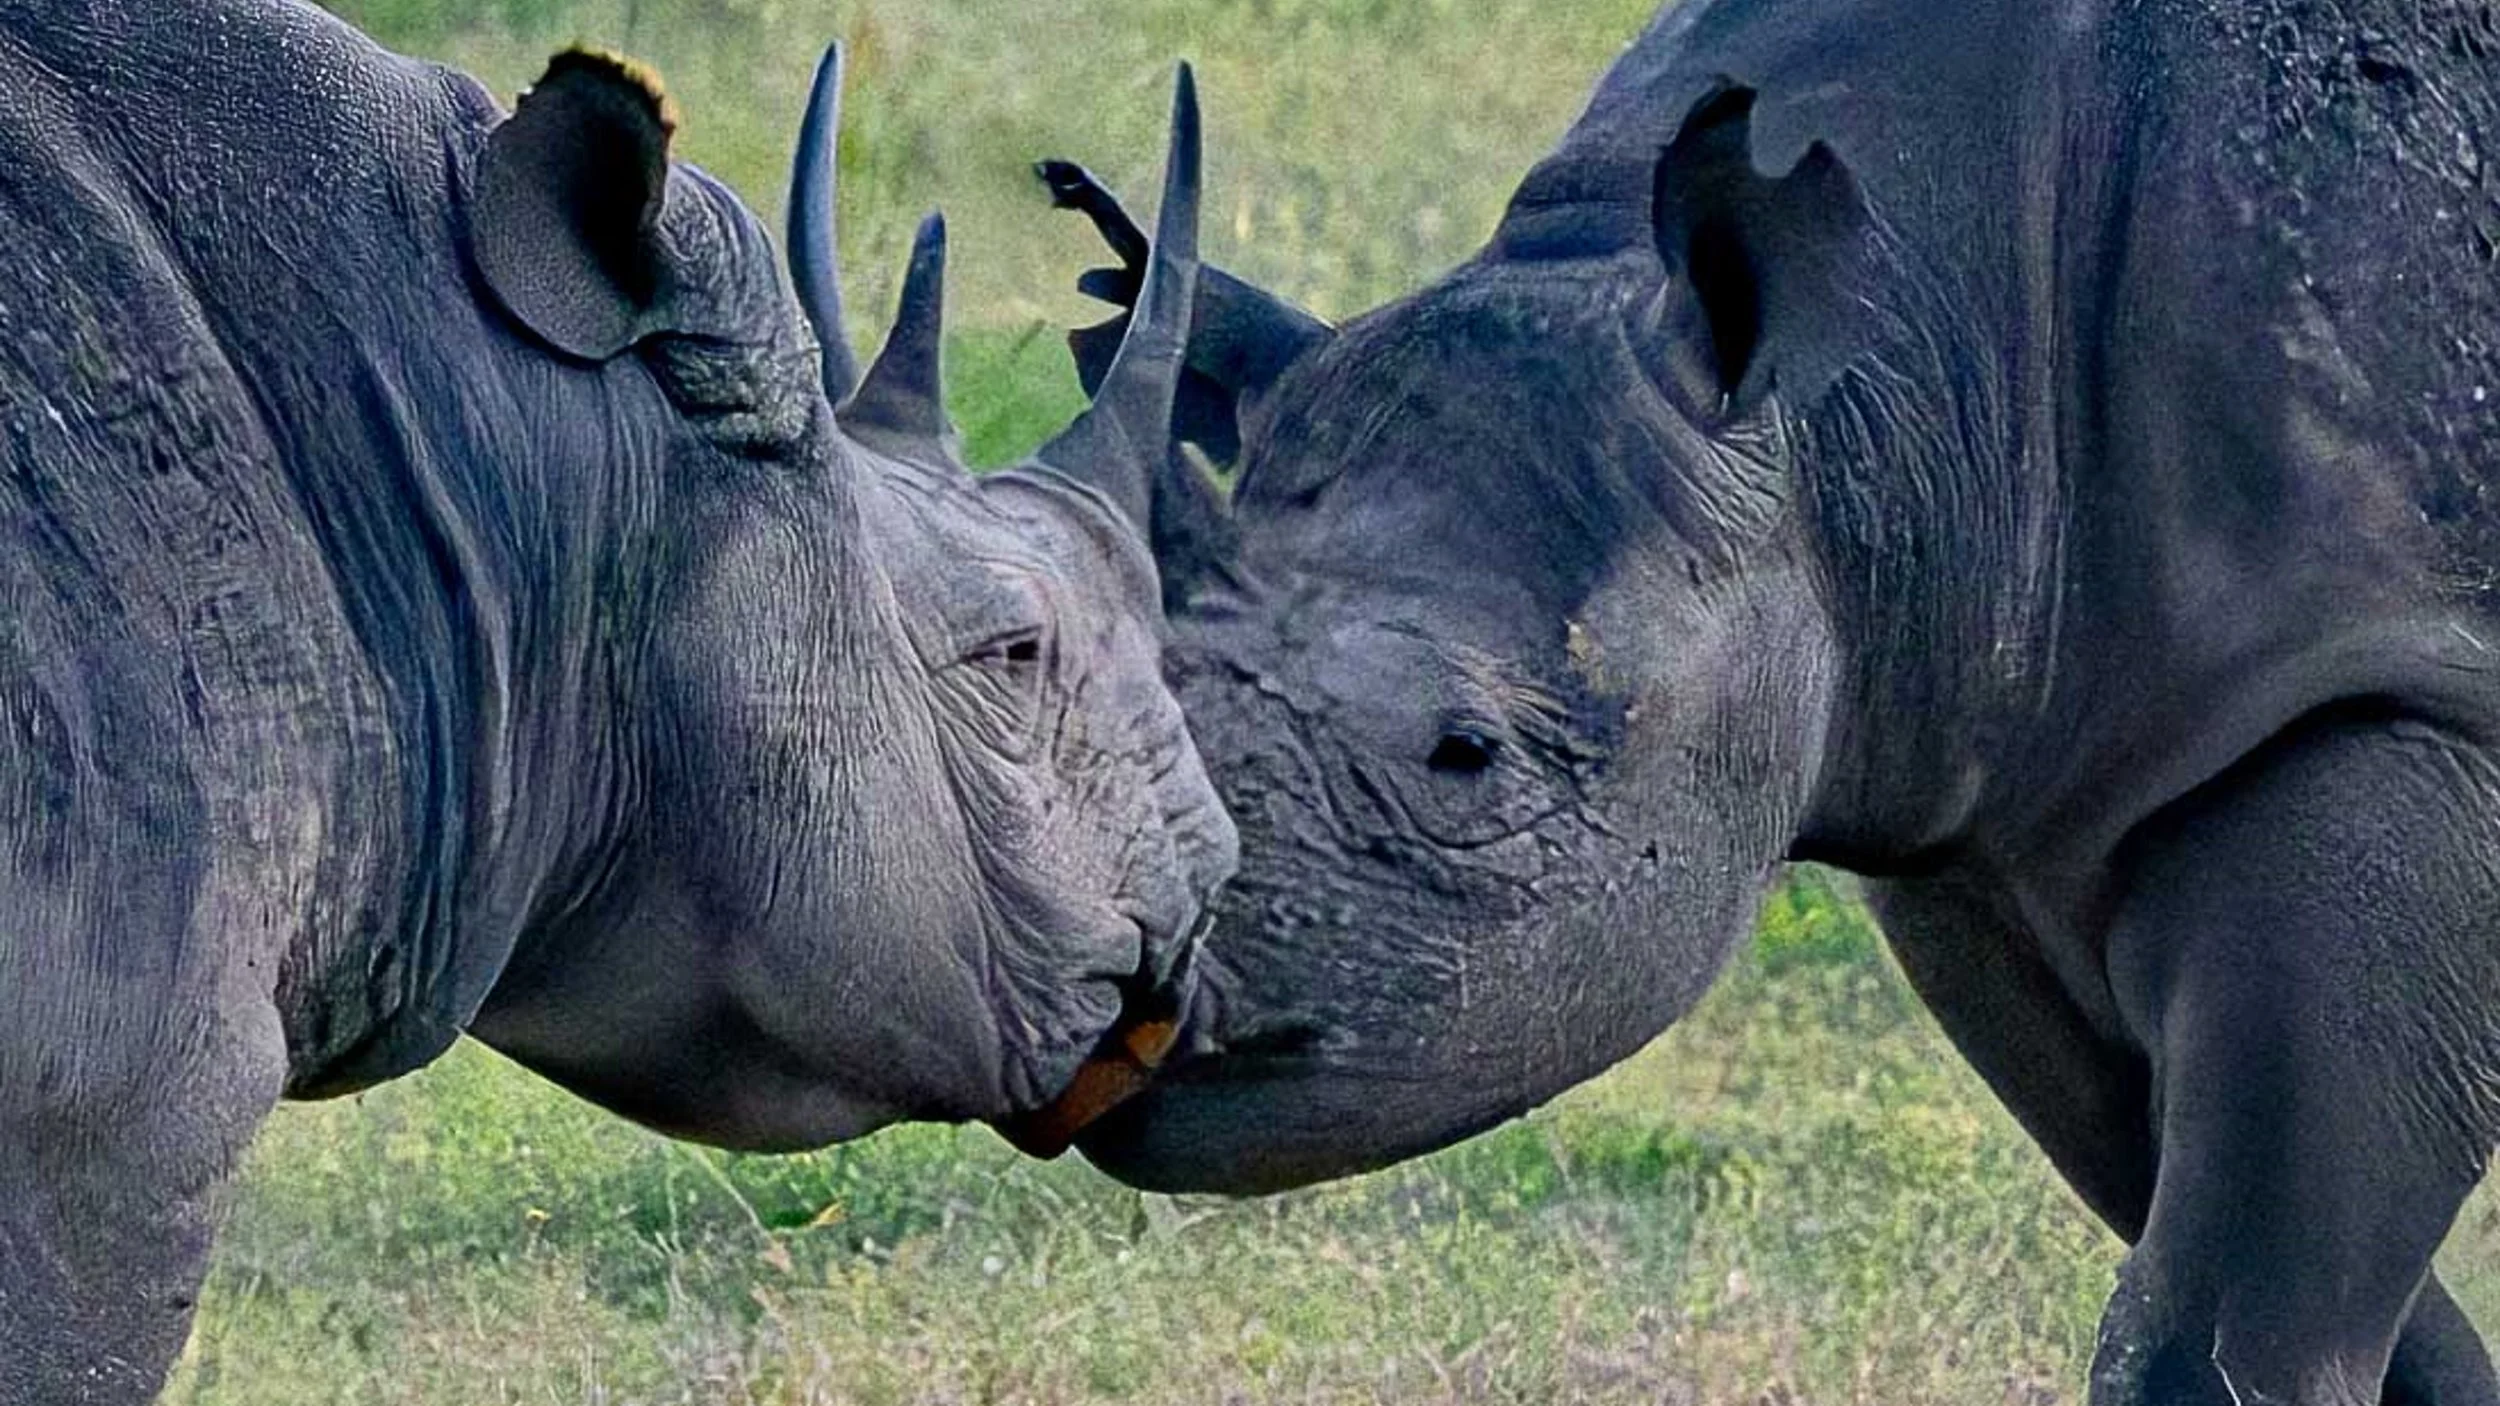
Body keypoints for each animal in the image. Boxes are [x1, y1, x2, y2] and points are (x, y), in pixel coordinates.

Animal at [1038, 1, 2500, 1401]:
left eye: (1466, 752)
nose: (1113, 980)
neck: (1885, 386)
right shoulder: (1984, 791)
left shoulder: (2395, 690)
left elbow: (2222, 1313)